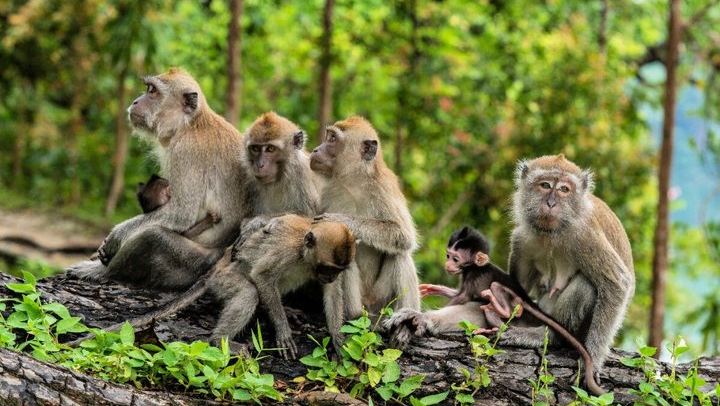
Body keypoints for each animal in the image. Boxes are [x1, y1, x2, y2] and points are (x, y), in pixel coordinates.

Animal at [66, 68, 250, 290]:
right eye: (148, 88)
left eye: (153, 91)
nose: (136, 101)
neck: (190, 125)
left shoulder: (185, 152)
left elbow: (181, 214)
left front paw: (116, 236)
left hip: (190, 264)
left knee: (152, 237)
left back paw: (103, 271)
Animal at [83, 215, 355, 360]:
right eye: (328, 269)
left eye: (335, 271)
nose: (329, 277)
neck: (304, 255)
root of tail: (216, 267)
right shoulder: (288, 251)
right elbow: (263, 276)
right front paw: (283, 331)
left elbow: (332, 294)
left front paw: (337, 337)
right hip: (222, 280)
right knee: (249, 291)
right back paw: (219, 340)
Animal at [310, 116, 420, 318]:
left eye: (332, 139)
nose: (316, 150)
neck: (354, 180)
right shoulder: (328, 190)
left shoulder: (385, 187)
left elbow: (403, 235)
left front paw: (342, 220)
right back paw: (354, 314)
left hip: (382, 300)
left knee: (400, 254)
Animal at [383, 225, 605, 395]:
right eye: (448, 255)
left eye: (455, 259)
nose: (448, 264)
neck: (474, 267)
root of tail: (528, 302)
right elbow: (456, 294)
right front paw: (433, 289)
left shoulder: (474, 278)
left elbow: (461, 299)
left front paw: (418, 316)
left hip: (516, 306)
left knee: (498, 297)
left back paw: (499, 309)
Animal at [499, 154, 634, 377]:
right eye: (545, 185)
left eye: (564, 189)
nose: (551, 203)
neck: (553, 233)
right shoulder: (521, 239)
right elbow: (520, 286)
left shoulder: (585, 235)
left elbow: (617, 284)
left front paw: (592, 363)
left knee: (586, 286)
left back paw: (550, 335)